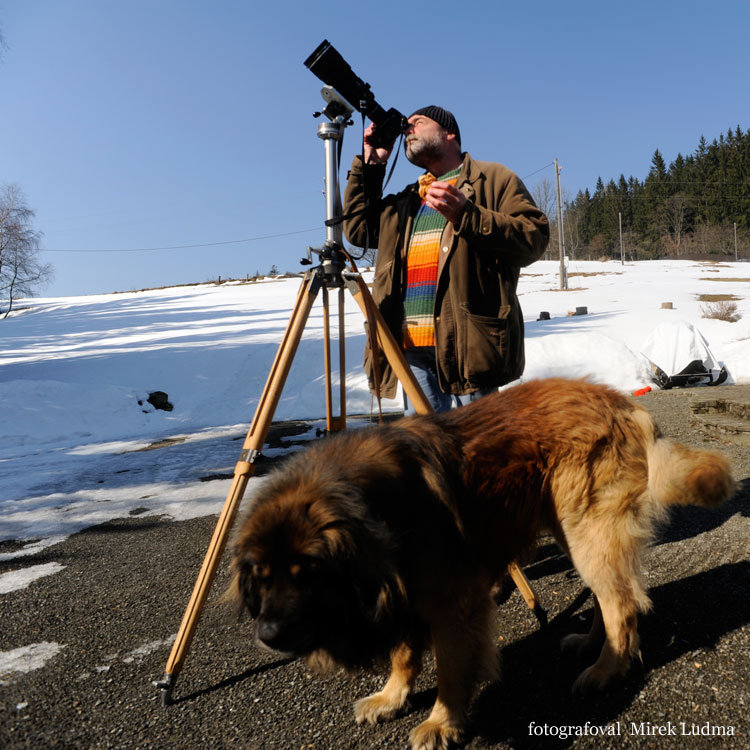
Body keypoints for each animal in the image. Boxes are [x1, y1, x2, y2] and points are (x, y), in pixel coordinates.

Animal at [229, 382, 736, 750]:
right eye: (261, 576)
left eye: (308, 573)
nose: (267, 635)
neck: (375, 506)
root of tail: (625, 405)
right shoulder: (401, 590)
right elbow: (403, 654)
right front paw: (392, 697)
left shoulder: (452, 603)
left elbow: (451, 670)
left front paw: (442, 722)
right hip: (572, 530)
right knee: (608, 596)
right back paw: (589, 644)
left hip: (587, 528)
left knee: (623, 604)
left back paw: (605, 671)